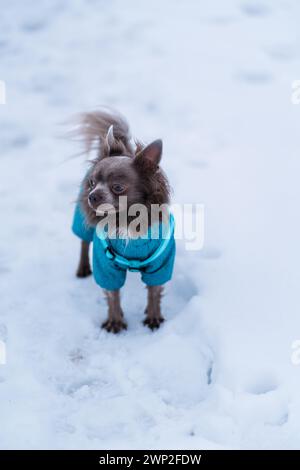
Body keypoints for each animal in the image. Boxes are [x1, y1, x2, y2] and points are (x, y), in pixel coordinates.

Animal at [71, 108, 176, 332]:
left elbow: (154, 291)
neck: (126, 220)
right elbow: (113, 295)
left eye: (118, 187)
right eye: (92, 183)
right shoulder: (106, 266)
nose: (92, 195)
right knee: (84, 241)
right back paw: (83, 268)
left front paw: (154, 317)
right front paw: (114, 322)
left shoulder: (160, 264)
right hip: (82, 219)